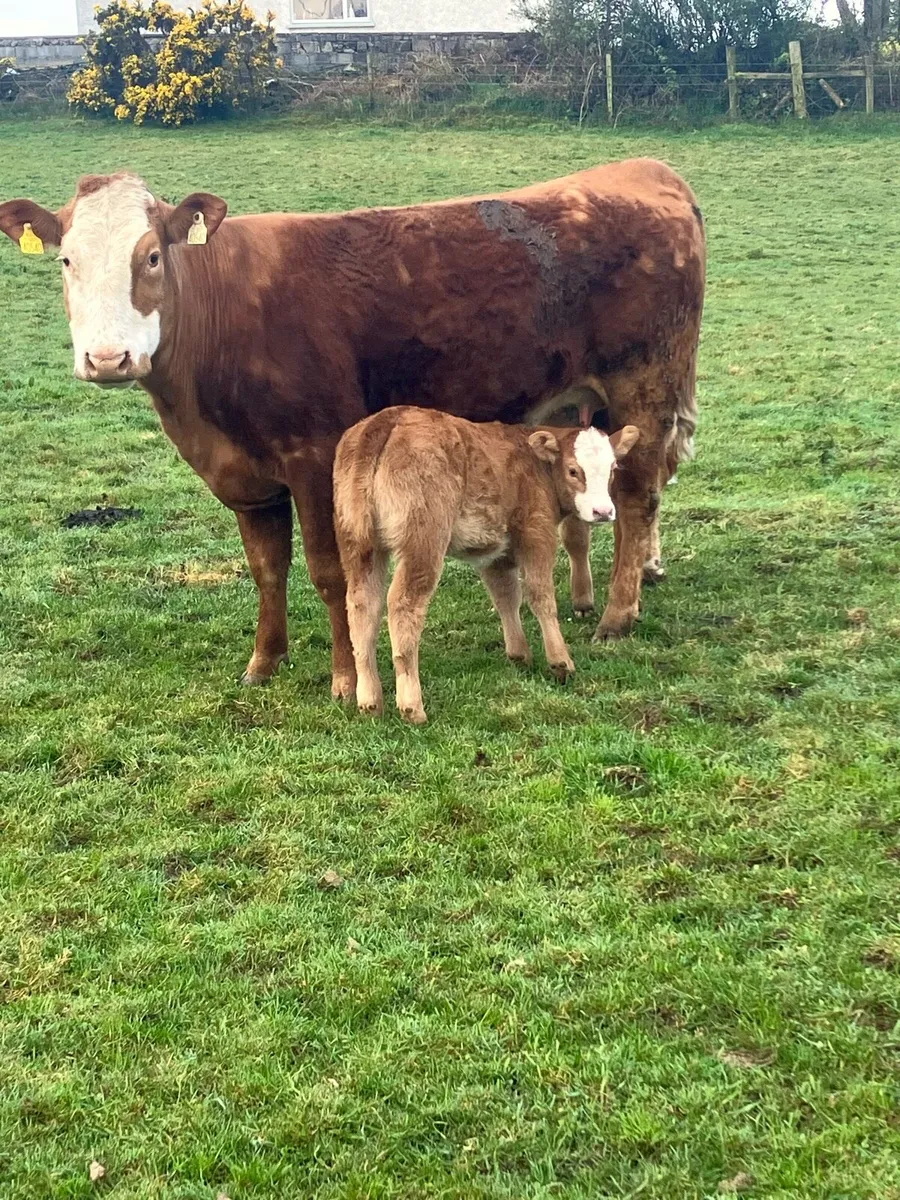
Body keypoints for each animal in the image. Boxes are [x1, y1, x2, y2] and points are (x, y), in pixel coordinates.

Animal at [334, 406, 640, 724]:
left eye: (613, 469)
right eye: (573, 470)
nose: (603, 512)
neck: (534, 465)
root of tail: (387, 420)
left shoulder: (496, 552)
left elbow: (506, 596)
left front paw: (519, 654)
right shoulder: (537, 531)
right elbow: (541, 596)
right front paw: (560, 661)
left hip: (358, 543)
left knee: (362, 604)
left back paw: (370, 701)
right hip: (423, 540)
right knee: (404, 604)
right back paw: (411, 706)